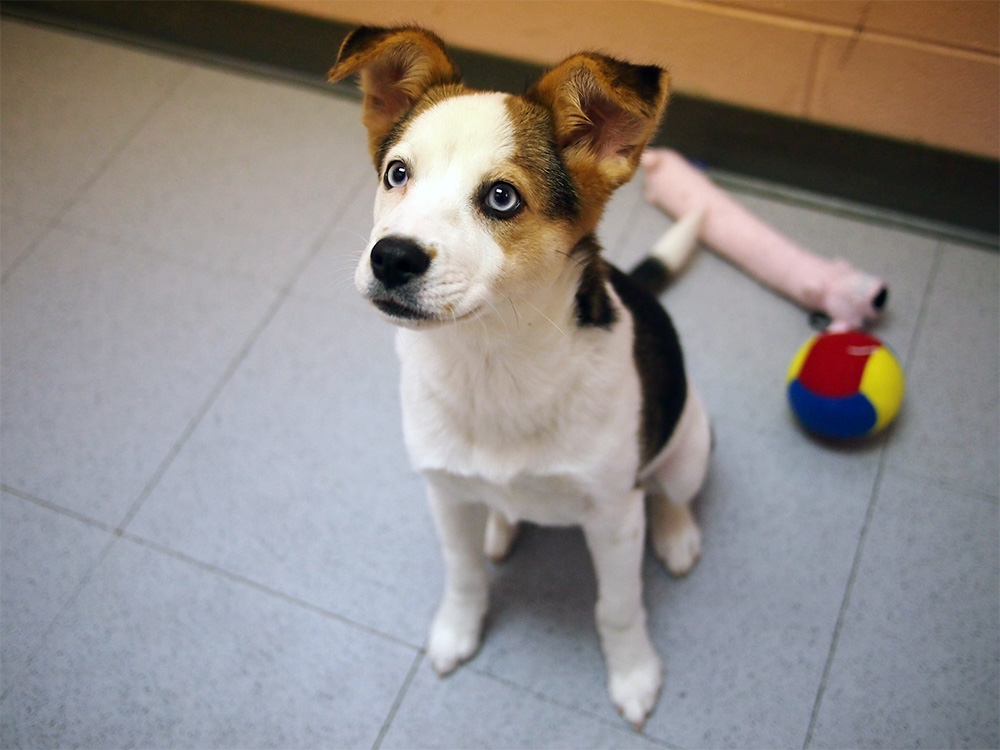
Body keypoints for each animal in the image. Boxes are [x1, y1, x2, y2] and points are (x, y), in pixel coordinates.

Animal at [330, 27, 712, 728]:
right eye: (398, 173)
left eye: (501, 197)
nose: (390, 257)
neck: (494, 362)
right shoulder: (445, 494)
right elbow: (463, 575)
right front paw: (457, 630)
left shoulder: (615, 516)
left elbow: (619, 607)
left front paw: (634, 675)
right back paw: (503, 526)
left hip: (690, 439)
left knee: (671, 491)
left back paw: (676, 536)